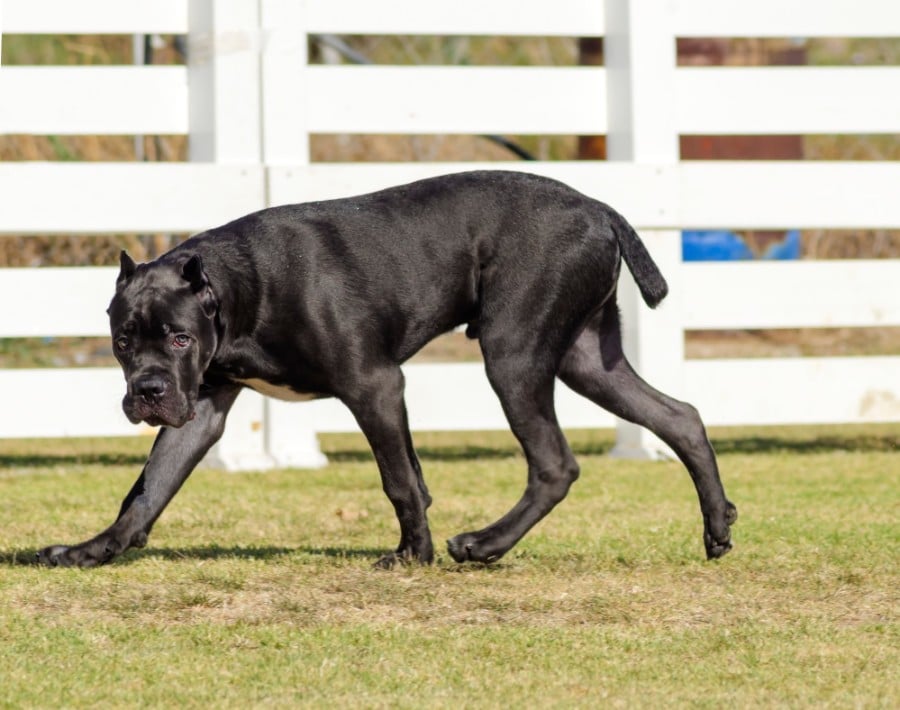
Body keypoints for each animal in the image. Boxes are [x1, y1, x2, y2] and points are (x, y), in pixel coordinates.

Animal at [37, 170, 740, 572]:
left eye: (181, 338)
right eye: (122, 342)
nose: (149, 390)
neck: (237, 291)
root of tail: (597, 205)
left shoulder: (373, 385)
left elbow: (400, 480)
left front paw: (413, 556)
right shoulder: (202, 408)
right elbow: (146, 491)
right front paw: (92, 550)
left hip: (514, 353)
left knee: (555, 464)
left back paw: (482, 546)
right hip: (586, 358)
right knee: (680, 417)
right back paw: (716, 529)